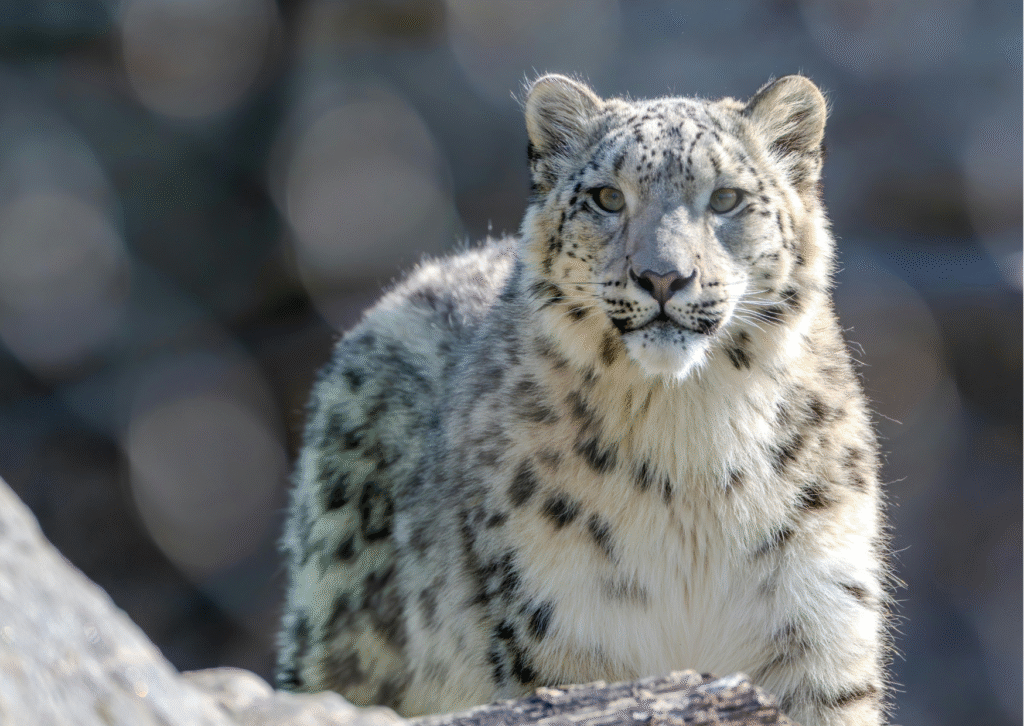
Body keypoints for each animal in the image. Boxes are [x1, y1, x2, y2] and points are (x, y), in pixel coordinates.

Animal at [276, 73, 893, 726]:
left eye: (726, 198)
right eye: (607, 197)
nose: (663, 277)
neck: (690, 438)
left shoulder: (818, 615)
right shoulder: (563, 619)